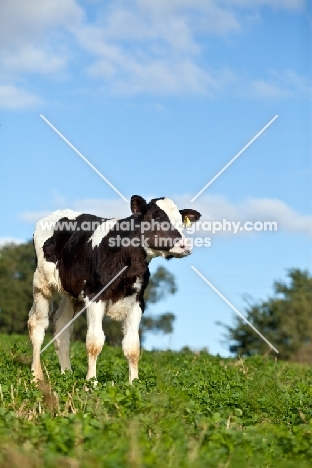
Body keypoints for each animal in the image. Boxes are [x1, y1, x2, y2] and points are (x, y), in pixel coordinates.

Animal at [28, 196, 201, 382]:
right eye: (158, 218)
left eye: (181, 221)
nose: (185, 246)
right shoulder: (95, 295)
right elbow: (94, 342)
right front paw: (91, 382)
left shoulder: (137, 302)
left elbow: (133, 347)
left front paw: (134, 383)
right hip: (41, 283)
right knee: (37, 324)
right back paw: (36, 376)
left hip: (71, 293)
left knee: (62, 326)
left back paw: (66, 374)